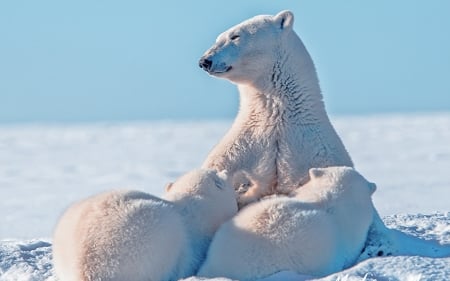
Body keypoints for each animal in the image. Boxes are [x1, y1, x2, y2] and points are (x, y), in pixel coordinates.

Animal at [199, 10, 354, 206]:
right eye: (218, 38)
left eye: (235, 36)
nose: (205, 61)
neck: (278, 117)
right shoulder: (244, 142)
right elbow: (219, 166)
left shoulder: (317, 151)